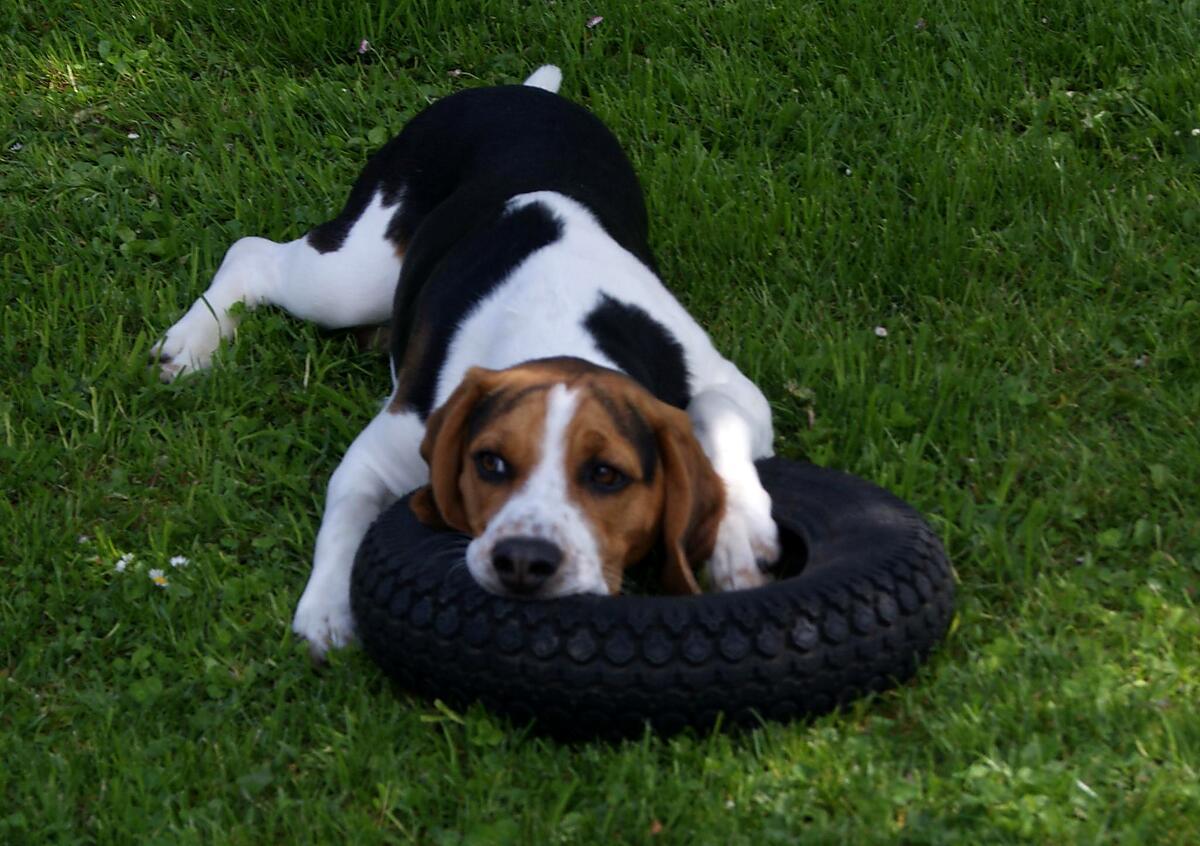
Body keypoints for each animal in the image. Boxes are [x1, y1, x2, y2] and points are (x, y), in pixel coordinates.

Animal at [152, 67, 777, 662]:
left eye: (607, 475)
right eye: (490, 464)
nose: (524, 561)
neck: (557, 330)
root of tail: (518, 92)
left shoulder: (733, 387)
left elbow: (716, 412)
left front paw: (739, 534)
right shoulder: (379, 455)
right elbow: (346, 520)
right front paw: (327, 609)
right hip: (351, 276)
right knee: (253, 255)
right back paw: (193, 343)